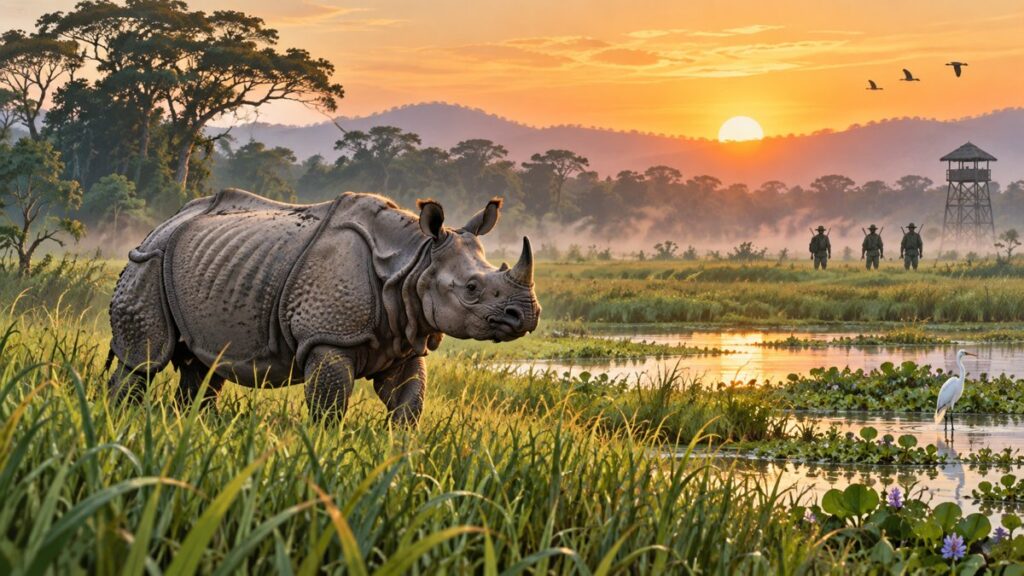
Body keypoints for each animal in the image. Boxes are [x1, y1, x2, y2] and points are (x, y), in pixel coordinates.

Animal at [107, 189, 540, 423]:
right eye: (472, 288)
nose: (527, 315)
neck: (413, 263)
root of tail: (163, 222)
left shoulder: (404, 336)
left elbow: (407, 405)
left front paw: (398, 455)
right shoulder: (329, 336)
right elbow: (329, 407)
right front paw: (323, 451)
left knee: (201, 368)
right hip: (150, 260)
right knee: (143, 361)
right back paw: (121, 418)